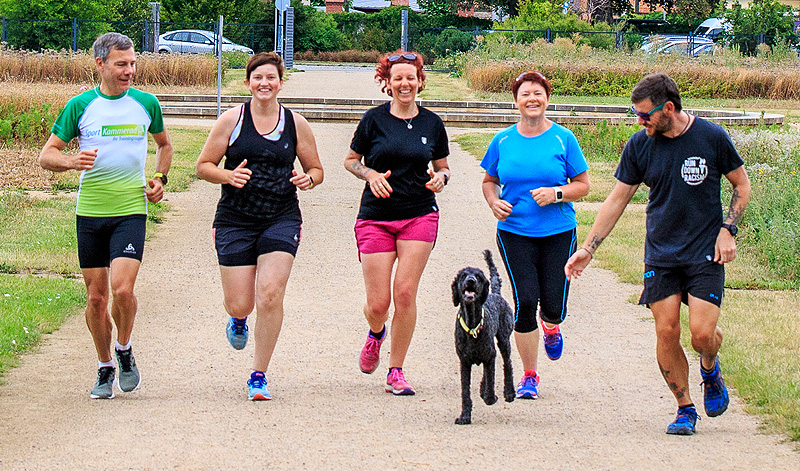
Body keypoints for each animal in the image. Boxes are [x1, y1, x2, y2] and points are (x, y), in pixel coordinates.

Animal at [450, 249, 512, 426]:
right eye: (463, 275)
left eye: (478, 276)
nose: (470, 280)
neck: (472, 325)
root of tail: (495, 294)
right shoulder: (464, 362)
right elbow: (465, 393)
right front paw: (464, 416)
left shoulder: (490, 355)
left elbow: (491, 382)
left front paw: (491, 397)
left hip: (504, 340)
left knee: (507, 364)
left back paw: (509, 392)